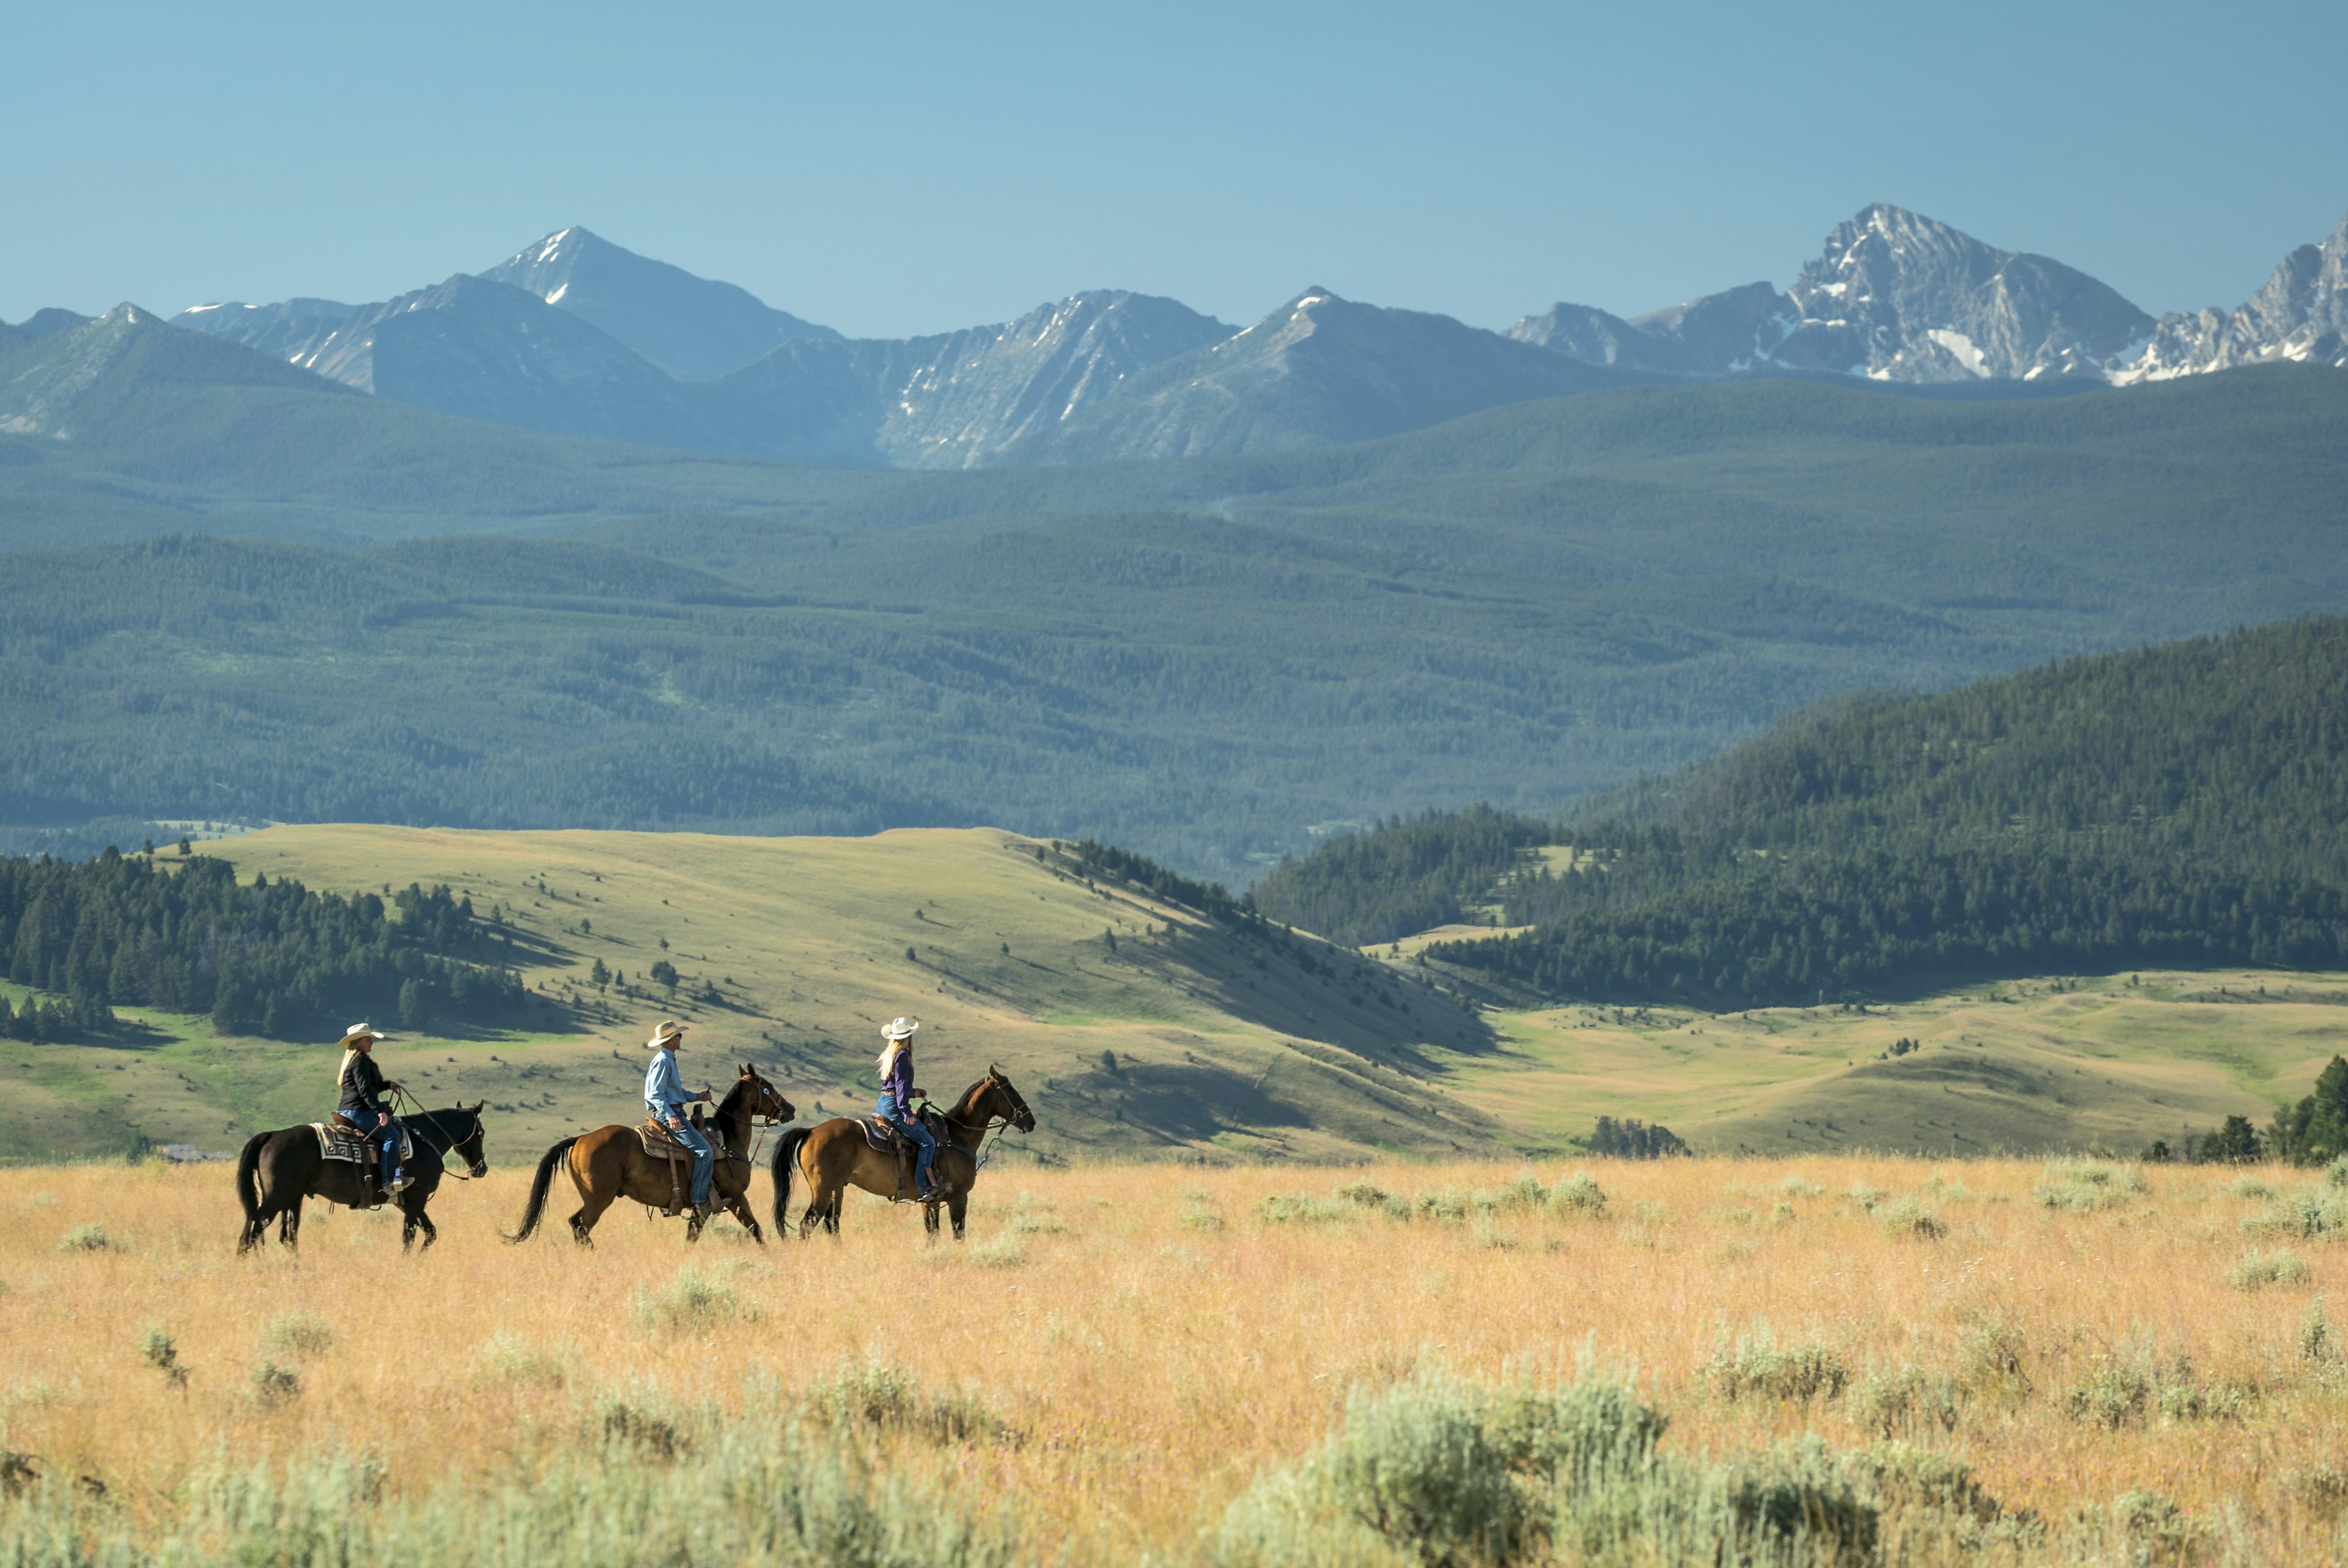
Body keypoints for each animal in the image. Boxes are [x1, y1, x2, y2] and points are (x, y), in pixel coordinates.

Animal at [235, 1108, 488, 1258]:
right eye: (481, 1132)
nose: (481, 1169)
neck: (423, 1139)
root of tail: (272, 1135)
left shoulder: (408, 1204)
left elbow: (422, 1233)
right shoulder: (417, 1200)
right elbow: (417, 1235)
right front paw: (411, 1262)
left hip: (292, 1199)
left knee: (287, 1236)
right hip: (276, 1197)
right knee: (254, 1230)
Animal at [500, 1061, 793, 1239]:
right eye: (768, 1088)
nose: (790, 1110)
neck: (727, 1140)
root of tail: (581, 1139)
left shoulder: (706, 1208)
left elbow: (692, 1235)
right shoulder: (734, 1197)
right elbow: (756, 1230)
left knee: (577, 1225)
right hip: (598, 1198)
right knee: (580, 1226)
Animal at [770, 1070, 1038, 1239]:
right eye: (1011, 1091)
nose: (1031, 1122)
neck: (956, 1137)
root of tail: (812, 1131)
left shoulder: (930, 1201)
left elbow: (933, 1233)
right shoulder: (958, 1198)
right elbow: (958, 1233)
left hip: (837, 1190)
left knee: (831, 1226)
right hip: (823, 1191)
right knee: (808, 1225)